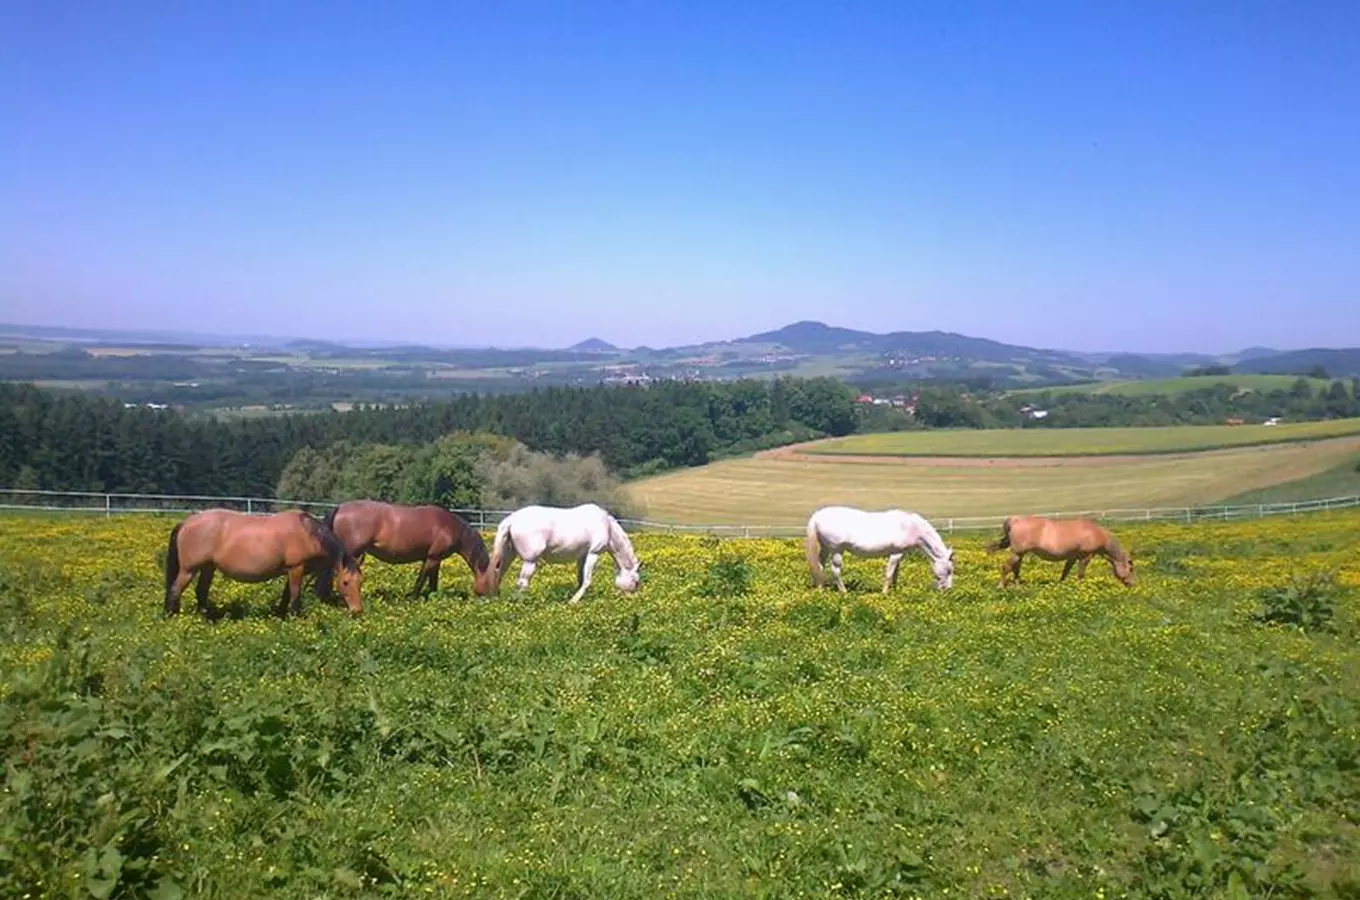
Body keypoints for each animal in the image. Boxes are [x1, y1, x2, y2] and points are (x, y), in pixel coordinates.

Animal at [162, 508, 364, 619]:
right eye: (345, 582)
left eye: (360, 583)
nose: (357, 611)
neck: (308, 533)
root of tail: (186, 522)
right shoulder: (296, 568)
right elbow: (295, 595)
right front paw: (294, 617)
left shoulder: (292, 570)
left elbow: (286, 594)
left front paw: (280, 615)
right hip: (188, 570)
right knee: (174, 590)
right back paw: (171, 617)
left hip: (207, 568)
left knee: (201, 591)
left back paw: (206, 617)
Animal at [316, 500, 495, 598]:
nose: (493, 597)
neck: (449, 526)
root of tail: (340, 508)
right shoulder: (432, 558)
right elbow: (422, 579)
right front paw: (412, 597)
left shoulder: (434, 560)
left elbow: (432, 582)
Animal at [489, 500, 641, 606]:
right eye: (636, 582)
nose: (631, 599)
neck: (607, 526)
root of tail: (511, 520)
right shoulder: (593, 553)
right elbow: (587, 580)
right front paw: (573, 601)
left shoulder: (582, 556)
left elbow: (581, 579)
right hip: (530, 561)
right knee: (522, 583)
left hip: (508, 555)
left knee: (498, 574)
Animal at [799, 508, 952, 592]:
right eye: (950, 570)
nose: (948, 589)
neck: (912, 527)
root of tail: (816, 516)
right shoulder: (896, 554)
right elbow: (889, 574)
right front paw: (884, 593)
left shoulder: (899, 555)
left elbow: (895, 574)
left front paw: (894, 590)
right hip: (837, 550)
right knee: (835, 571)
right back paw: (844, 592)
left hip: (826, 548)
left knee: (819, 566)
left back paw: (821, 588)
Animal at [990, 513, 1136, 592]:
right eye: (1131, 568)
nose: (1132, 584)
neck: (1096, 534)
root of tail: (1015, 519)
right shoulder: (1085, 556)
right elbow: (1080, 573)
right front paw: (1080, 586)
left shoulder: (1072, 557)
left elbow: (1065, 571)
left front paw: (1061, 585)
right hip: (1017, 553)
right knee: (1006, 567)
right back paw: (1001, 586)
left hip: (1020, 554)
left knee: (1016, 568)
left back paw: (1018, 585)